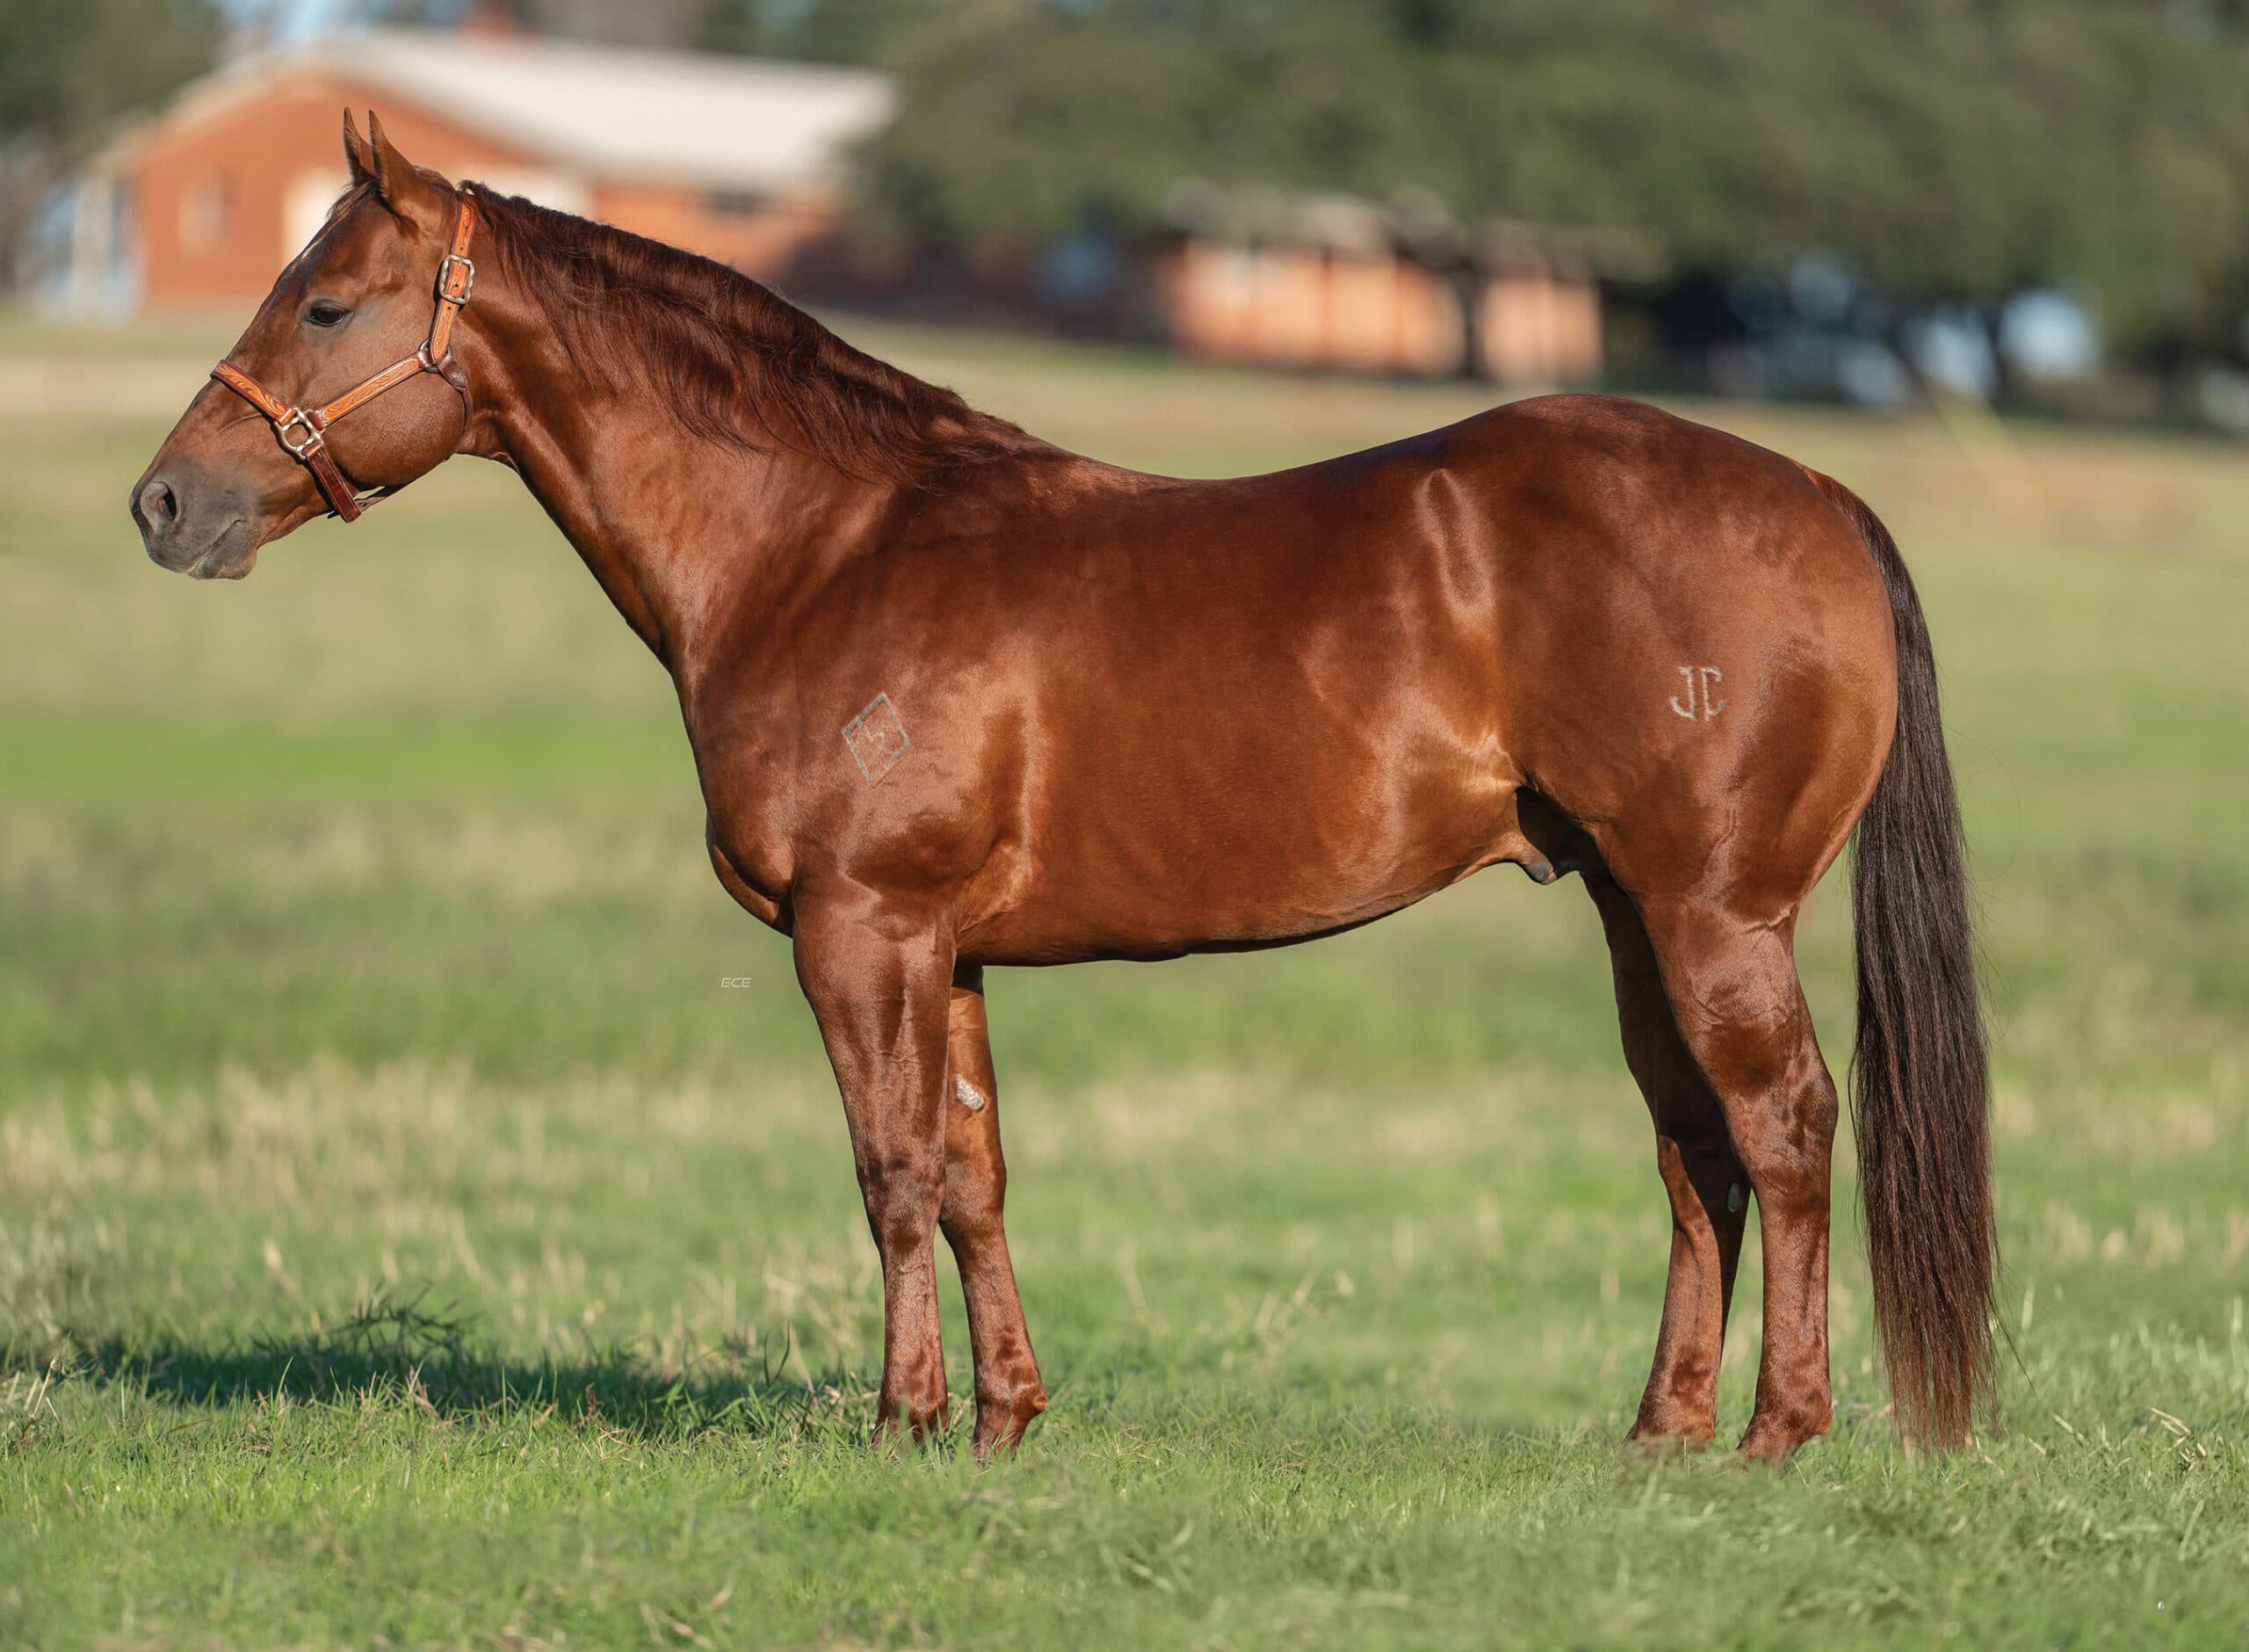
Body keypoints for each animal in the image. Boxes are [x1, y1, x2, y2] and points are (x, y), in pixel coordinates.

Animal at [131, 112, 1994, 1463]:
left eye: (325, 304)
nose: (163, 506)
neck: (822, 547)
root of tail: (1821, 495)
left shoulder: (861, 931)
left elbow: (888, 1175)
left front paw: (902, 1422)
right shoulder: (943, 951)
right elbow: (971, 1179)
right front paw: (1005, 1420)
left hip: (1714, 913)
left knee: (1784, 1130)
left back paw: (1781, 1432)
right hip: (1631, 912)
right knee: (1696, 1155)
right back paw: (1663, 1433)